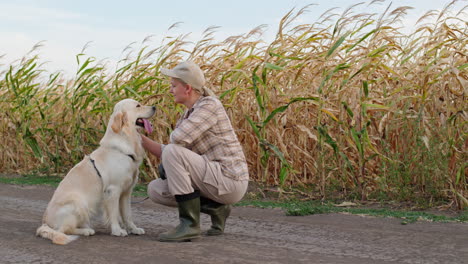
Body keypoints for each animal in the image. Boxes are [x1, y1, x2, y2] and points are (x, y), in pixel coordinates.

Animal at [37, 99, 154, 245]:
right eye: (138, 105)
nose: (154, 107)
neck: (125, 143)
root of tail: (45, 222)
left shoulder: (126, 192)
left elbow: (127, 214)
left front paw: (134, 229)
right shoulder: (113, 190)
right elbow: (114, 214)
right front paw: (117, 230)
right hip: (78, 203)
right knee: (64, 229)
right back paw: (86, 231)